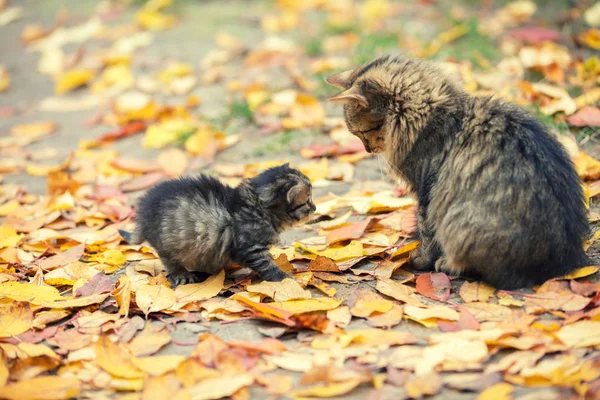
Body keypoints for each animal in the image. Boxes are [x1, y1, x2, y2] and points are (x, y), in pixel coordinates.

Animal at [117, 164, 314, 286]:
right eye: (307, 201)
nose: (315, 208)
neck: (257, 205)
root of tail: (143, 214)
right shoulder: (251, 249)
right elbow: (267, 265)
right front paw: (283, 277)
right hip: (169, 244)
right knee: (171, 262)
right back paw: (182, 274)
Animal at [326, 55, 588, 288]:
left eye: (362, 132)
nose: (368, 149)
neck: (436, 114)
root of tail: (559, 262)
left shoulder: (426, 189)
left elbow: (427, 230)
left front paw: (421, 259)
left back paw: (447, 264)